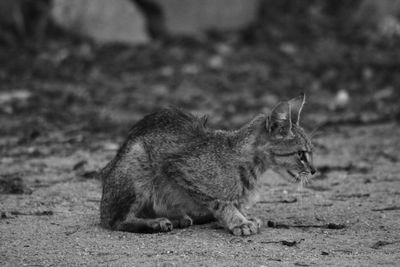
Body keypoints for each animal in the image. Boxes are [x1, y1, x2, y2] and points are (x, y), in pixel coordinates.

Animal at [99, 94, 316, 237]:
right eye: (301, 154)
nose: (314, 171)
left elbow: (234, 202)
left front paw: (244, 216)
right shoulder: (178, 169)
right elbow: (221, 202)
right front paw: (239, 221)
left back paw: (177, 217)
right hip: (138, 163)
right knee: (113, 220)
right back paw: (155, 223)